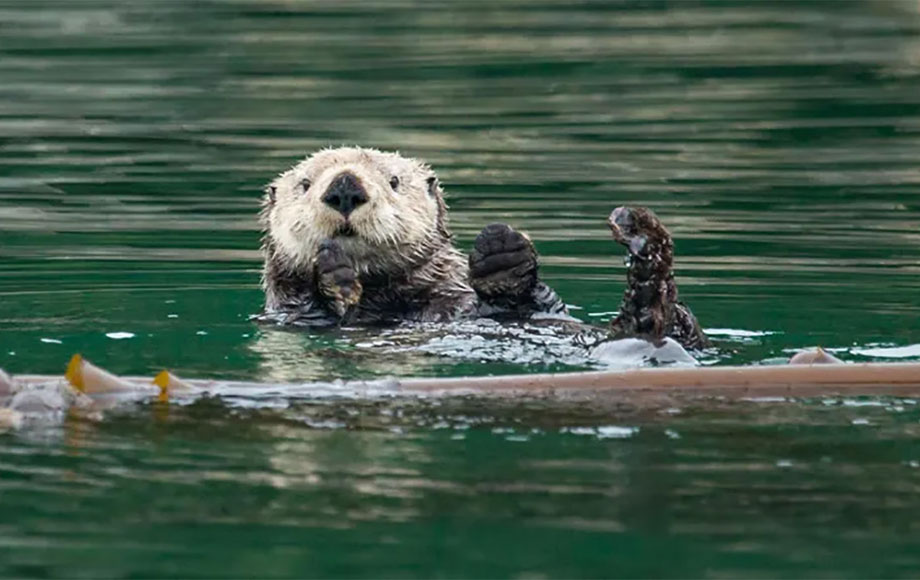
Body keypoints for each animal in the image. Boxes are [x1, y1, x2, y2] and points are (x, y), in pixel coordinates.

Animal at [258, 147, 712, 352]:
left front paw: (503, 258)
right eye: (305, 184)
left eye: (393, 181)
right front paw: (332, 278)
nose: (345, 187)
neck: (385, 297)